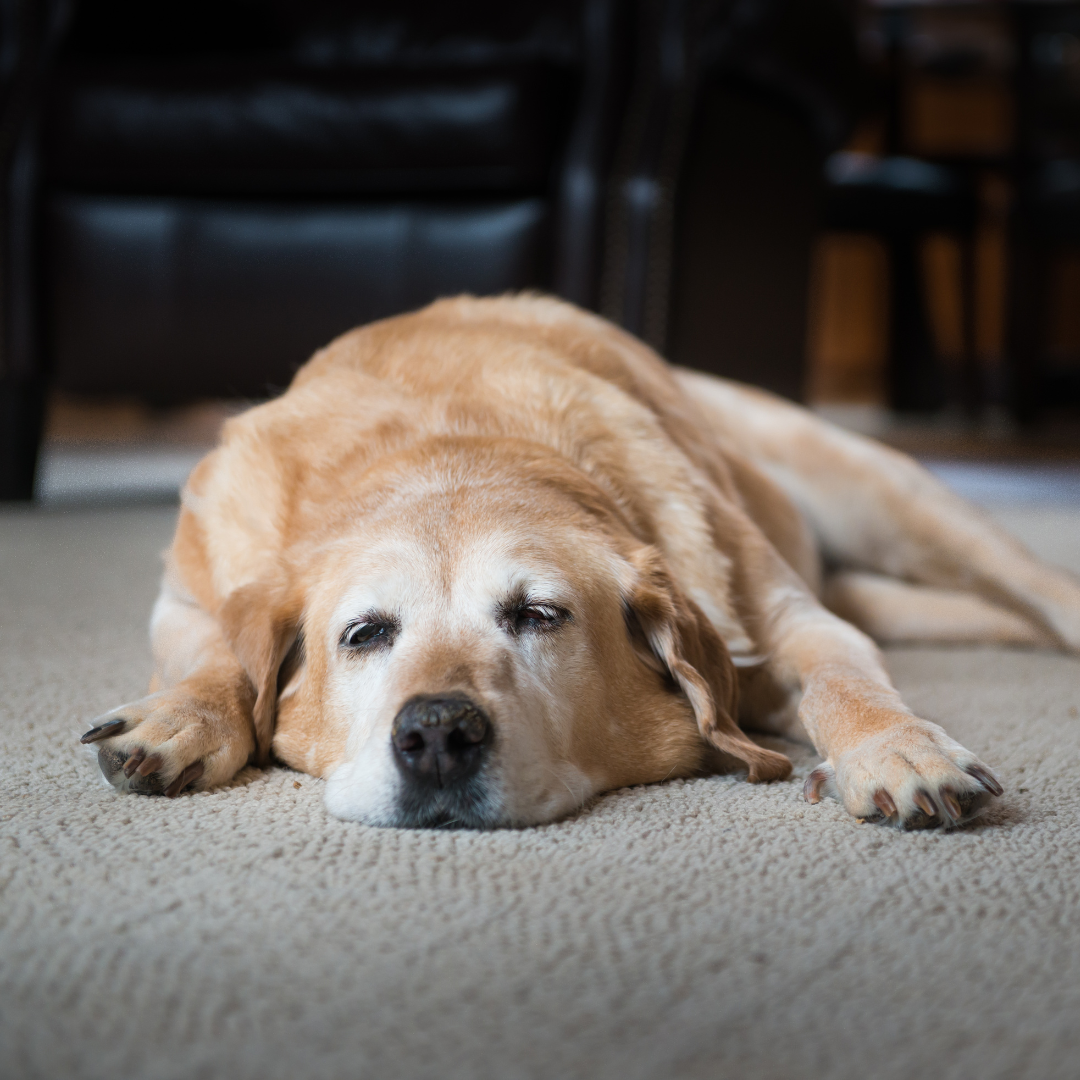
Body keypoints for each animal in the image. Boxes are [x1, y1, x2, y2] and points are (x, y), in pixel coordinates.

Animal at [78, 295, 1080, 825]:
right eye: (363, 634)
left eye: (537, 615)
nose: (436, 733)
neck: (454, 446)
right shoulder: (184, 596)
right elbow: (219, 652)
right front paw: (185, 717)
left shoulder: (797, 622)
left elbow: (845, 682)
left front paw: (896, 749)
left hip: (890, 496)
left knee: (1039, 586)